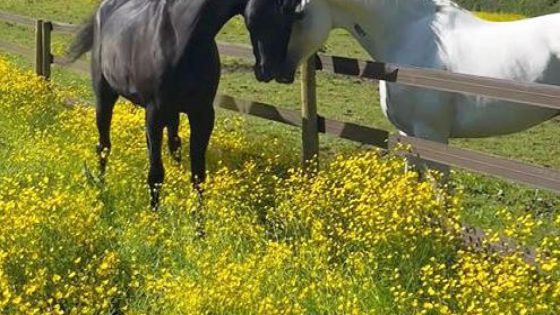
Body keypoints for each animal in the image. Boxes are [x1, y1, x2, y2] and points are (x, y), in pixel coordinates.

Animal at [70, 0, 304, 210]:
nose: (276, 71)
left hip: (171, 112)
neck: (179, 35)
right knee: (103, 146)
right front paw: (154, 221)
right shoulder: (154, 113)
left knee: (172, 145)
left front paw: (199, 227)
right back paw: (100, 188)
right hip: (105, 97)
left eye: (295, 12)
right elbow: (155, 174)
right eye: (281, 7)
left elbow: (198, 176)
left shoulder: (202, 114)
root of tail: (103, 10)